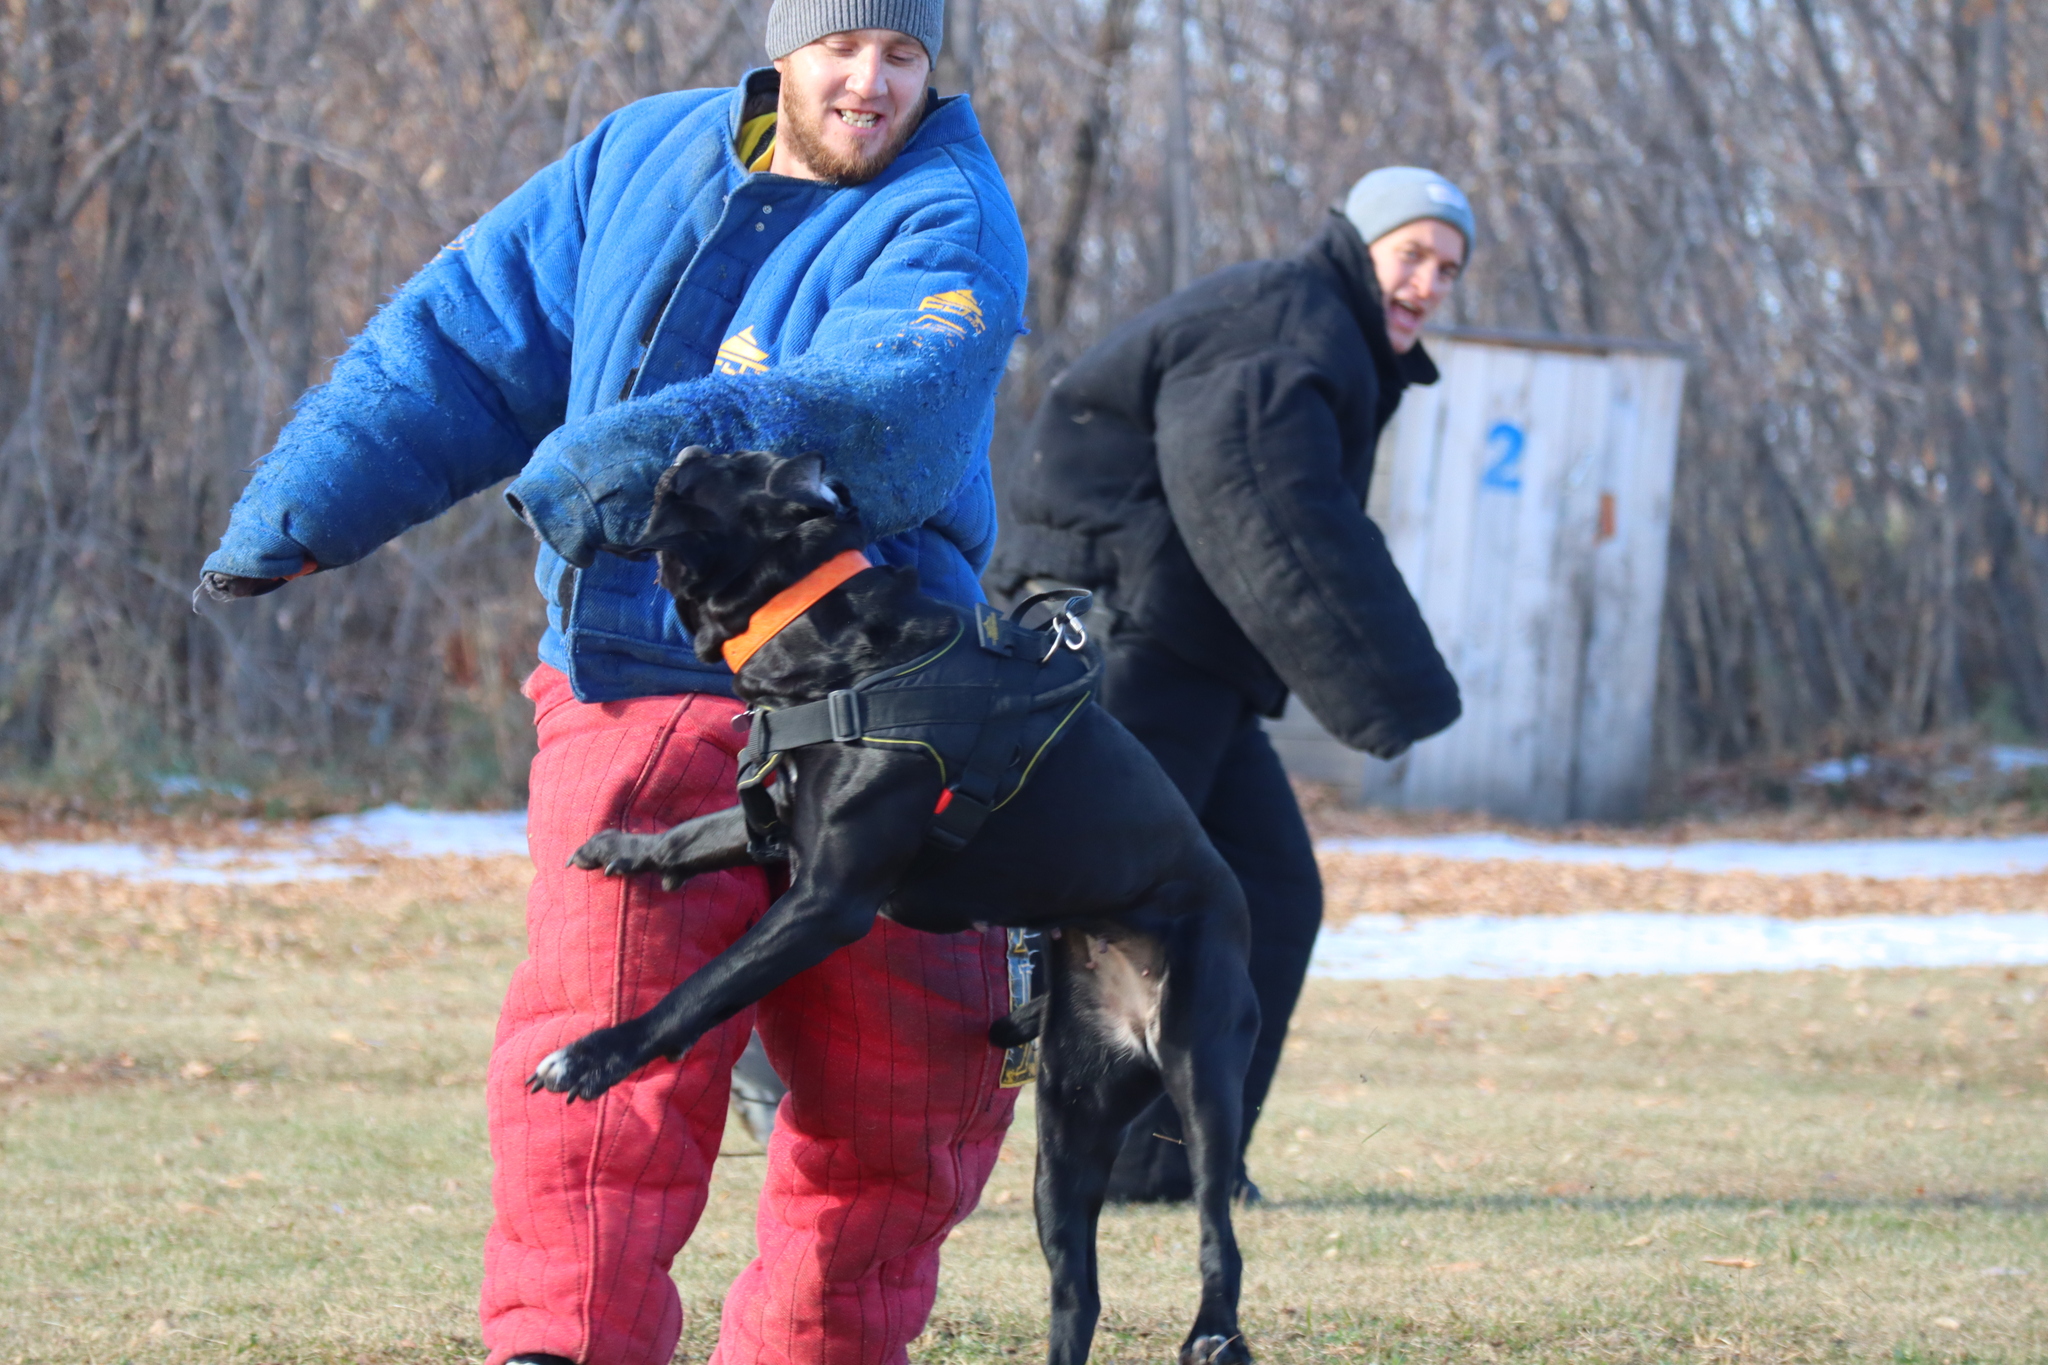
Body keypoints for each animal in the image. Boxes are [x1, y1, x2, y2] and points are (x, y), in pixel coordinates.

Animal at [524, 450, 1261, 1365]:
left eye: (729, 463)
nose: (682, 454)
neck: (829, 650)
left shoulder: (828, 900)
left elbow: (700, 989)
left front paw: (595, 1055)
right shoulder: (781, 833)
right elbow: (696, 832)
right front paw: (626, 847)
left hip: (1200, 1069)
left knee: (1218, 1228)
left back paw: (1214, 1330)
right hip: (1070, 1121)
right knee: (1077, 1291)